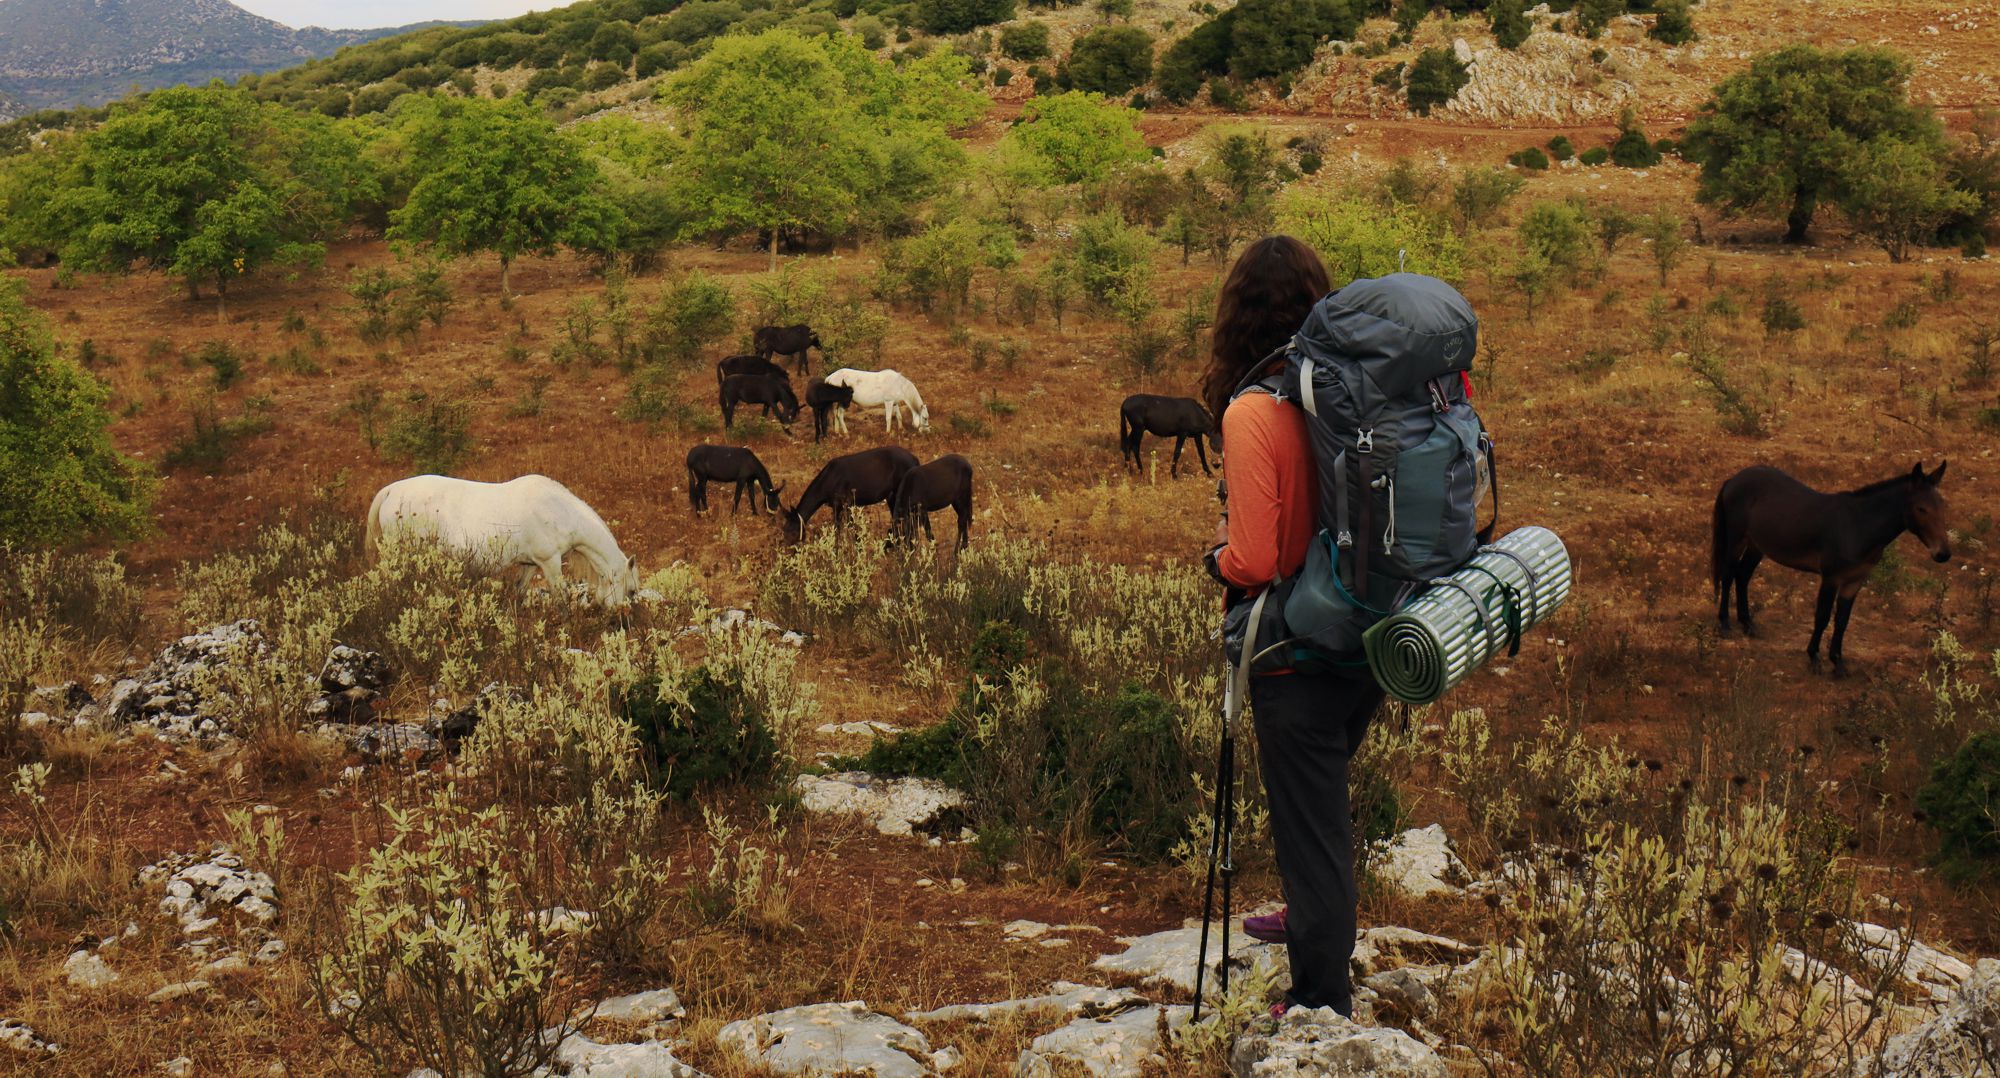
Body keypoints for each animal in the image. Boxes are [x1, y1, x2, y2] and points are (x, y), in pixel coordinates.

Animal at [364, 474, 636, 608]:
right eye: (632, 591)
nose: (618, 617)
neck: (561, 511)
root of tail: (391, 490)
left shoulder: (530, 564)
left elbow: (519, 590)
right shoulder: (550, 562)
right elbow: (560, 597)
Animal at [1704, 462, 1952, 676]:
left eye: (1943, 507)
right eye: (1921, 509)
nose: (1943, 554)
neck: (1858, 526)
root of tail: (1734, 479)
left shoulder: (1854, 582)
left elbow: (1842, 621)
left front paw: (1838, 662)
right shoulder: (1831, 579)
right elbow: (1822, 617)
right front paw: (1814, 657)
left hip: (1757, 545)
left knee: (1742, 576)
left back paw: (1747, 623)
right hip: (1736, 539)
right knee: (1728, 575)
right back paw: (1724, 623)